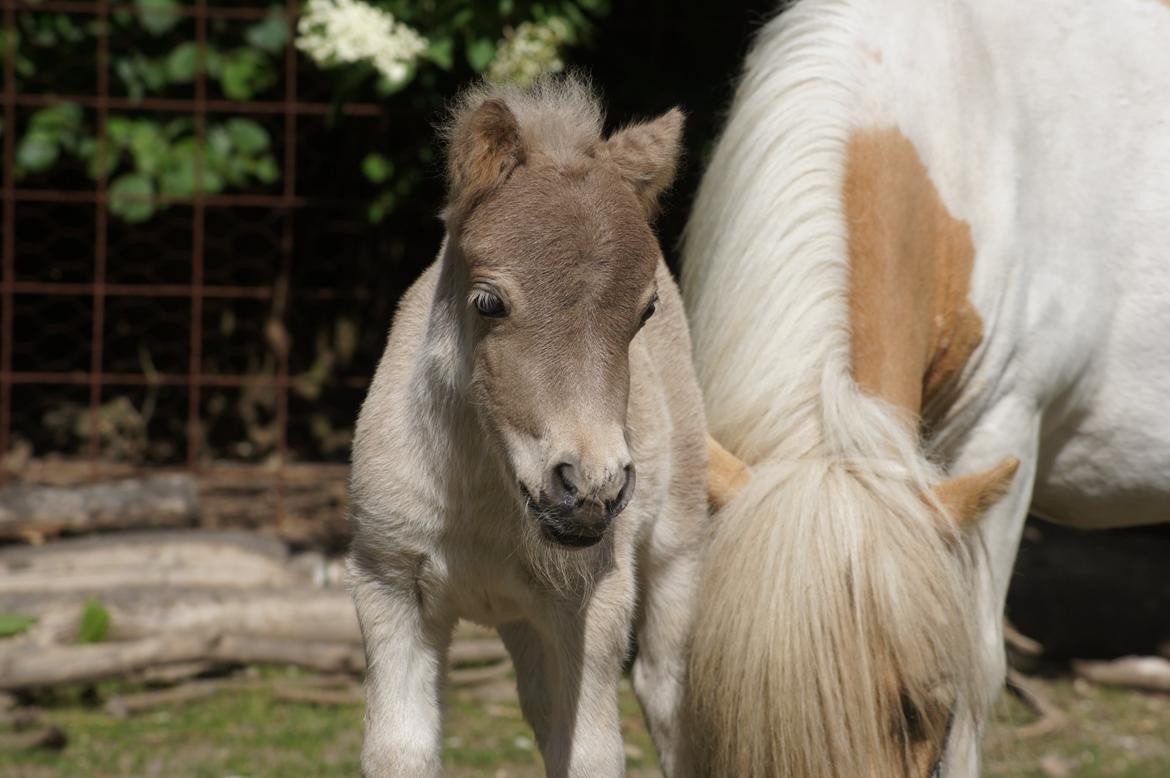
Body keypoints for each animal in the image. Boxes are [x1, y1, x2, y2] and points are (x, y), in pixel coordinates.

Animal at [346, 80, 706, 776]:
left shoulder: (592, 603)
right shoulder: (387, 585)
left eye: (644, 310)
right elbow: (400, 750)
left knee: (668, 693)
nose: (589, 488)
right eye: (488, 301)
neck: (486, 499)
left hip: (677, 544)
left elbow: (590, 754)